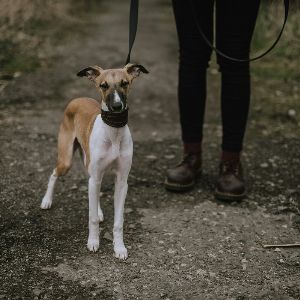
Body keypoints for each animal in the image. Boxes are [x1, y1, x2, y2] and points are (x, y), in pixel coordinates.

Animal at [39, 63, 148, 260]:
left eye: (125, 83)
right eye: (103, 85)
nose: (117, 106)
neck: (113, 132)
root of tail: (78, 98)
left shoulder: (122, 182)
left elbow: (118, 221)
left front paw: (119, 248)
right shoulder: (96, 175)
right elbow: (92, 218)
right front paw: (93, 242)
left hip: (90, 168)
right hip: (66, 160)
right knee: (54, 173)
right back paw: (47, 200)